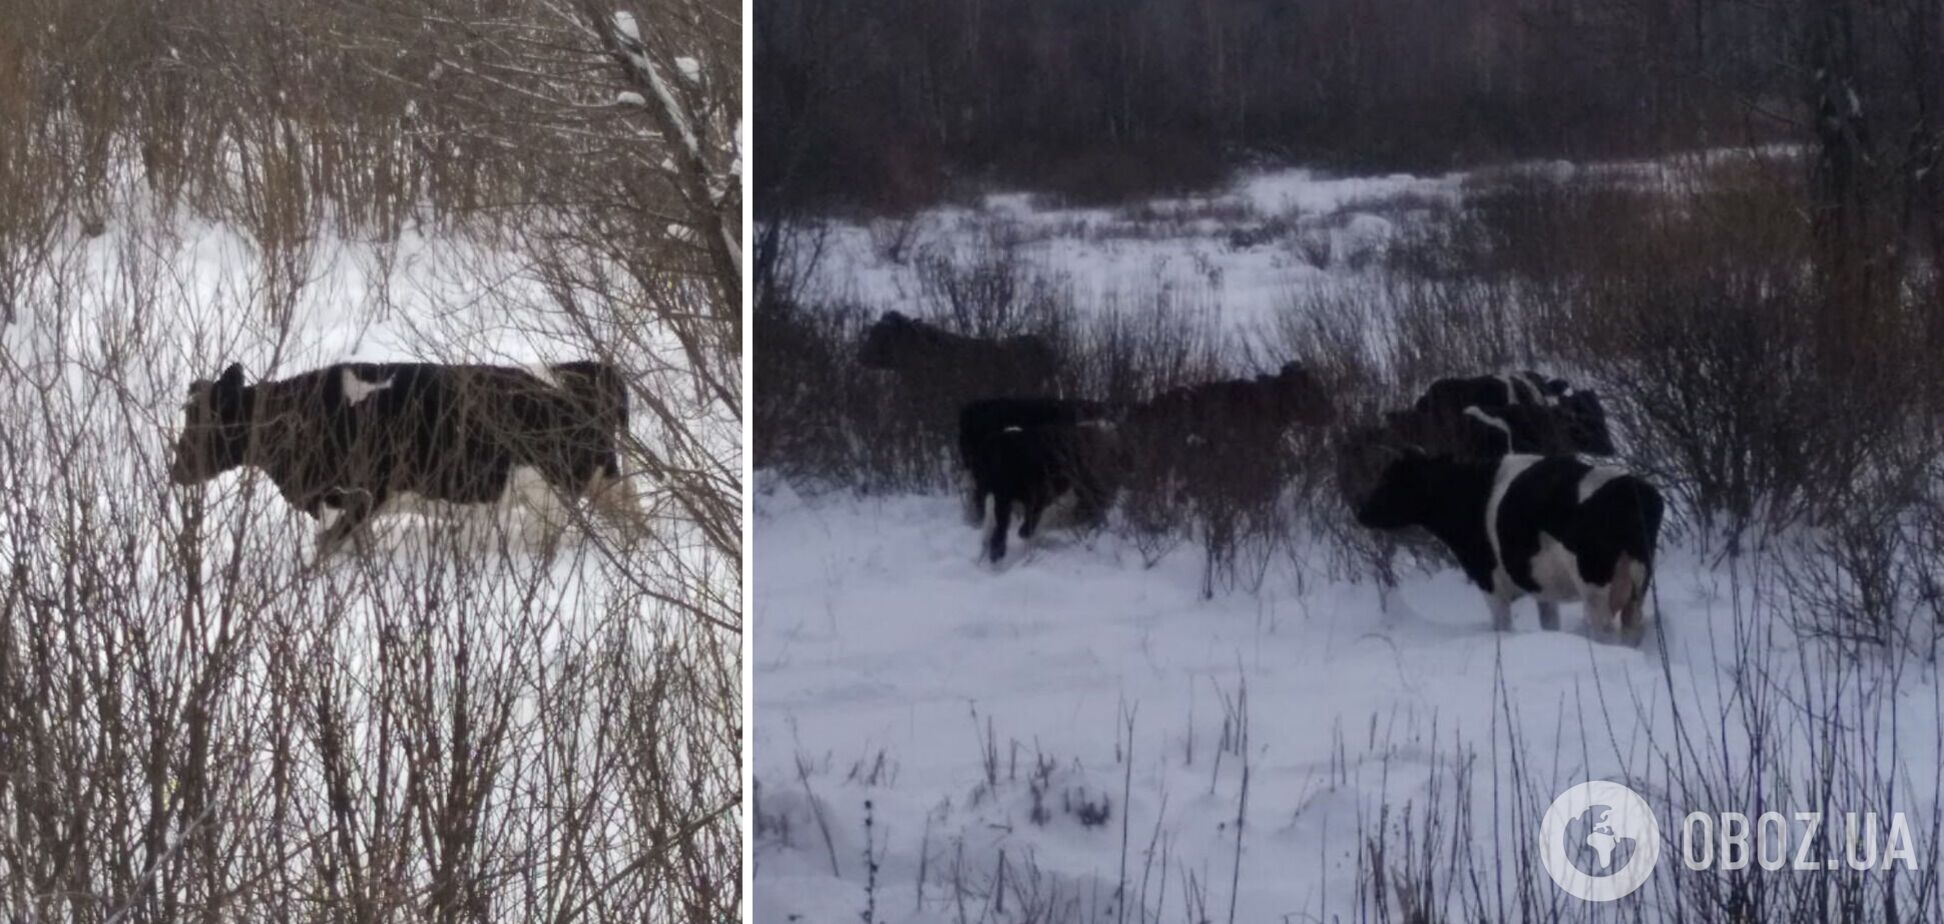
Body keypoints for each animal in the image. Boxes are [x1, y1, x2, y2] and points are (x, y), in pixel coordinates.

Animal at [168, 361, 645, 556]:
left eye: (204, 423)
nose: (175, 472)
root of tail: (582, 369)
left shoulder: (352, 499)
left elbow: (325, 550)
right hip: (594, 480)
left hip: (558, 489)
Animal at [1360, 451, 1664, 641]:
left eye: (1389, 479)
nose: (1361, 512)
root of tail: (1632, 489)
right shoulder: (1542, 588)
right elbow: (1549, 623)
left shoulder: (1490, 583)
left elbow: (1503, 627)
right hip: (1639, 583)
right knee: (1633, 628)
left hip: (1594, 585)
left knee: (1606, 631)